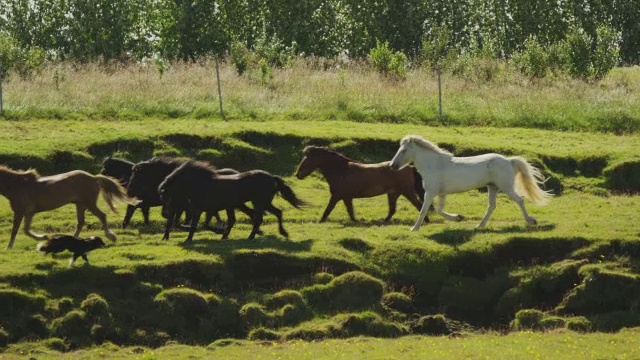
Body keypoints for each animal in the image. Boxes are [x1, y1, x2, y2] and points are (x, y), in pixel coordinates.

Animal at [0, 165, 132, 249]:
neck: (18, 186)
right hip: (80, 205)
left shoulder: (20, 211)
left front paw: (8, 247)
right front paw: (43, 237)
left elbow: (15, 230)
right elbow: (26, 230)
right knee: (80, 222)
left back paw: (111, 236)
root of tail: (94, 178)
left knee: (101, 216)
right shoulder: (29, 212)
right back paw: (74, 240)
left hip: (89, 203)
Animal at [156, 160, 304, 242]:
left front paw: (189, 239)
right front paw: (221, 233)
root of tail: (272, 177)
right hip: (263, 203)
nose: (165, 214)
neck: (201, 184)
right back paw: (282, 233)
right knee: (276, 213)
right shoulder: (208, 209)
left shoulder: (201, 209)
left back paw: (252, 236)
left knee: (259, 218)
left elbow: (195, 225)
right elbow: (204, 224)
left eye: (167, 196)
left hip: (259, 202)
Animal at [296, 146, 430, 222]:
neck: (340, 170)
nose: (298, 174)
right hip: (393, 193)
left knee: (419, 205)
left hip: (407, 192)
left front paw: (320, 221)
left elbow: (328, 210)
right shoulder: (346, 197)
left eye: (308, 159)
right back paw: (383, 222)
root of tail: (410, 167)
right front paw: (357, 222)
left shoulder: (336, 196)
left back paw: (426, 221)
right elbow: (350, 212)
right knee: (392, 210)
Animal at [388, 135, 552, 231]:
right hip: (492, 187)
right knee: (491, 206)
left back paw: (531, 221)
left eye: (403, 150)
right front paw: (458, 217)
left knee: (520, 200)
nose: (392, 166)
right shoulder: (440, 193)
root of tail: (509, 161)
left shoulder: (430, 192)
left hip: (506, 187)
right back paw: (479, 226)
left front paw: (414, 228)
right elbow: (439, 210)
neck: (434, 164)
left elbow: (425, 210)